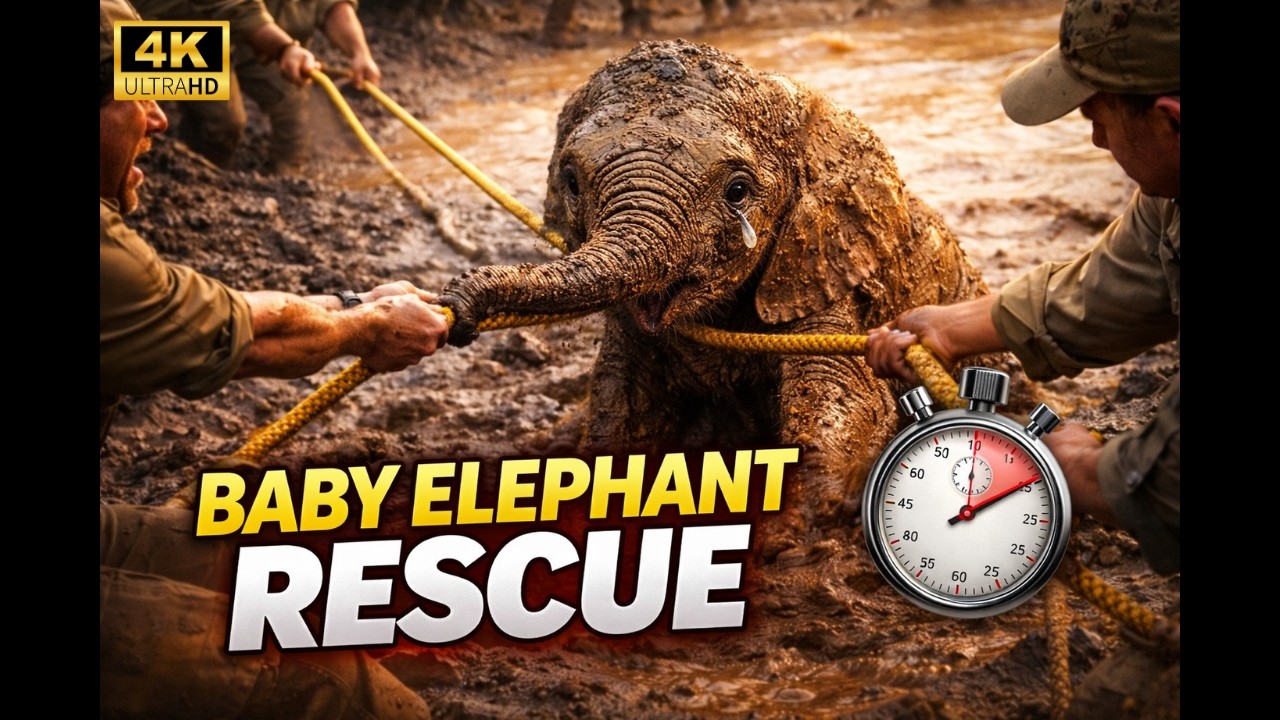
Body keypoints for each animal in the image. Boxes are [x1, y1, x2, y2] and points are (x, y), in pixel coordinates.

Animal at [441, 40, 1023, 551]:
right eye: (571, 181)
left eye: (738, 191)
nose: (456, 308)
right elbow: (621, 403)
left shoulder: (823, 273)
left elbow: (845, 394)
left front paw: (784, 534)